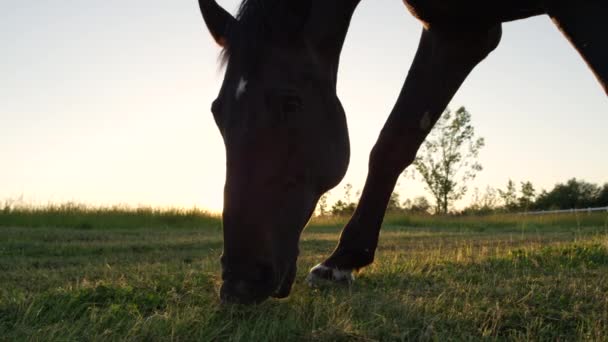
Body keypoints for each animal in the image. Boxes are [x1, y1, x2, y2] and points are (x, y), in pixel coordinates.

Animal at [197, 0, 604, 304]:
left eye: (291, 102)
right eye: (217, 112)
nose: (239, 283)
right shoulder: (457, 29)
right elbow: (395, 141)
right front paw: (342, 261)